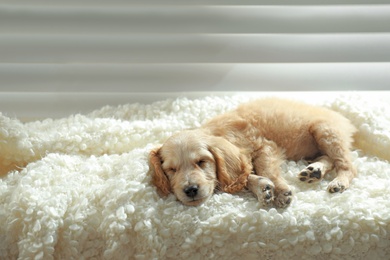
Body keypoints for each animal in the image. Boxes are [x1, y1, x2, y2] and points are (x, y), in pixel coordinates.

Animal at [149, 98, 356, 208]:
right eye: (172, 170)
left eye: (201, 162)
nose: (190, 190)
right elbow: (244, 175)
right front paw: (262, 188)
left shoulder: (265, 147)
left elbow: (264, 169)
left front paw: (280, 191)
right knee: (329, 159)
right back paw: (314, 171)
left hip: (325, 131)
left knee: (347, 165)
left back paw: (339, 182)